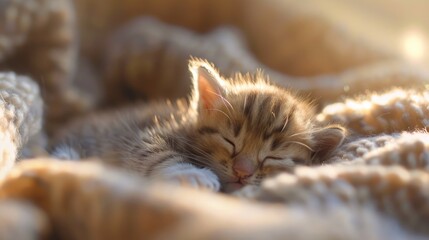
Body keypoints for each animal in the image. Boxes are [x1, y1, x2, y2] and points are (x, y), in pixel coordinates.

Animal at [51, 59, 344, 192]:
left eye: (273, 157)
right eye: (230, 141)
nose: (242, 172)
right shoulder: (145, 133)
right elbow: (156, 153)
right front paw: (194, 174)